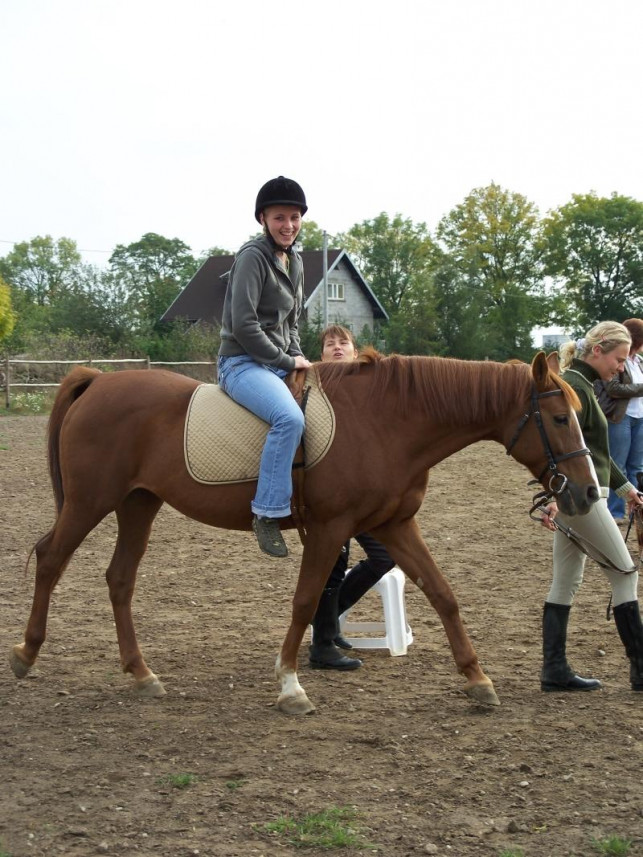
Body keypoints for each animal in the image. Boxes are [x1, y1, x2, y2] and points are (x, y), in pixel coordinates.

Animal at [8, 352, 600, 712]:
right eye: (561, 419)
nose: (588, 494)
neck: (386, 421)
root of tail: (98, 380)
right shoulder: (328, 529)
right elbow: (305, 600)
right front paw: (291, 685)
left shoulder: (394, 524)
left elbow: (443, 594)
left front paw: (477, 679)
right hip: (90, 502)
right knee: (51, 558)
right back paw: (25, 654)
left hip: (138, 504)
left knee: (119, 579)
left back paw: (141, 673)